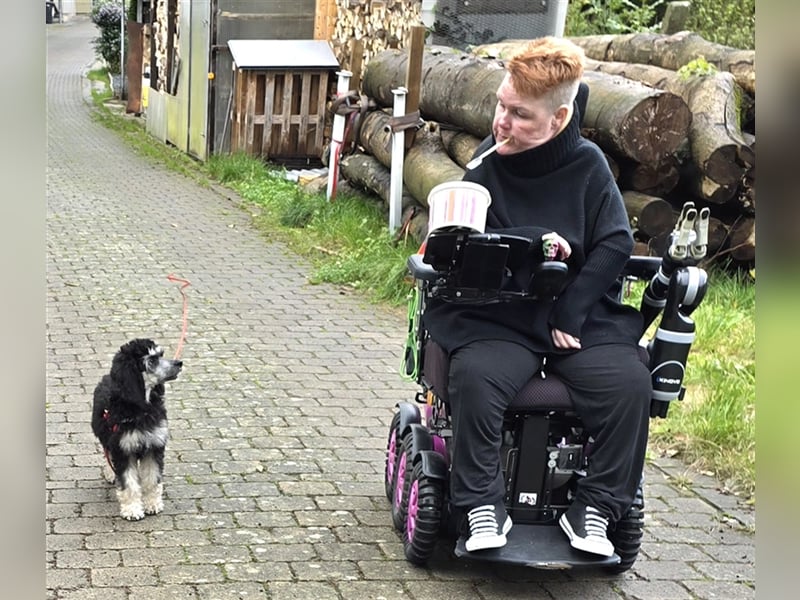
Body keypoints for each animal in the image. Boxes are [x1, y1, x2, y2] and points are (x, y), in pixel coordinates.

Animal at [92, 340, 183, 516]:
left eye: (161, 354)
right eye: (152, 361)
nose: (179, 363)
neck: (141, 409)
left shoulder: (154, 445)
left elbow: (152, 480)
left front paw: (152, 504)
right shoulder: (122, 448)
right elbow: (129, 484)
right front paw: (132, 509)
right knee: (107, 454)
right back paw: (111, 473)